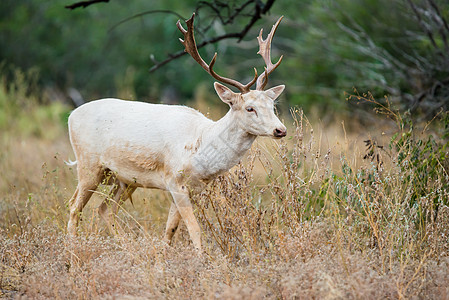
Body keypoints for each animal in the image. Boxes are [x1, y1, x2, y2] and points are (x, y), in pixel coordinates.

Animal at [66, 12, 286, 251]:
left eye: (272, 105)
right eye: (250, 108)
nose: (280, 130)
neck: (201, 146)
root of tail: (71, 115)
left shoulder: (193, 188)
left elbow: (170, 229)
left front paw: (165, 255)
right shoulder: (174, 180)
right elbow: (194, 230)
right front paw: (203, 258)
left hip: (125, 180)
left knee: (104, 209)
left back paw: (127, 248)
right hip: (89, 164)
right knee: (74, 207)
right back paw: (72, 251)